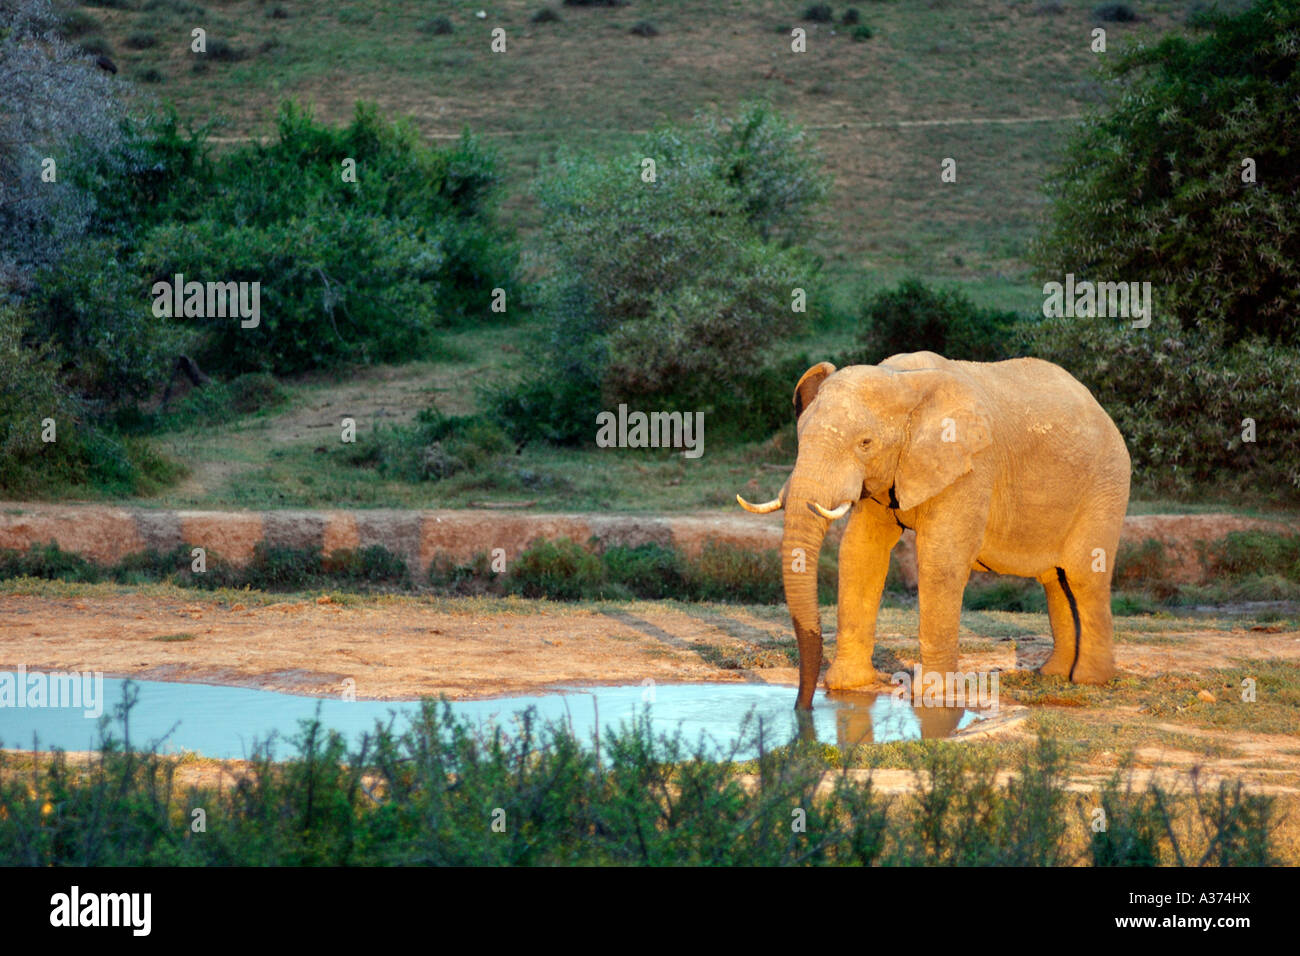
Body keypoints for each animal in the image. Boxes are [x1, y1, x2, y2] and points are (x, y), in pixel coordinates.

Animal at [737, 351, 1131, 710]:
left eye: (865, 443)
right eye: (800, 437)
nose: (803, 708)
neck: (901, 381)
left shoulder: (971, 466)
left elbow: (941, 559)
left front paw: (931, 694)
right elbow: (861, 551)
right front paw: (848, 686)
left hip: (1106, 483)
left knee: (1084, 576)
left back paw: (1089, 680)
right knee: (1055, 580)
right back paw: (1054, 674)